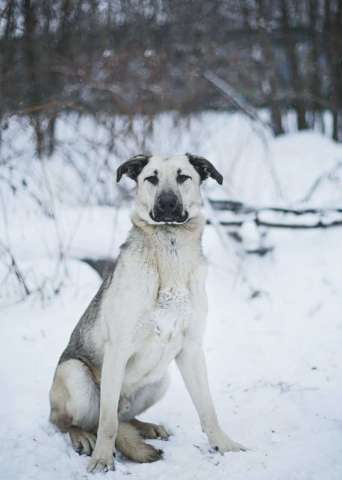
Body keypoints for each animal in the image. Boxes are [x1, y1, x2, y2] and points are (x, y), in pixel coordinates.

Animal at [49, 154, 244, 472]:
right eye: (151, 178)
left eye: (183, 177)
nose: (167, 204)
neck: (170, 252)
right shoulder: (117, 350)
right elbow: (107, 424)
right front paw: (102, 459)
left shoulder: (191, 349)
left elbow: (207, 408)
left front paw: (223, 444)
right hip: (75, 373)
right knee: (72, 421)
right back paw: (82, 437)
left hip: (161, 380)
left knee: (125, 417)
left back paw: (146, 427)